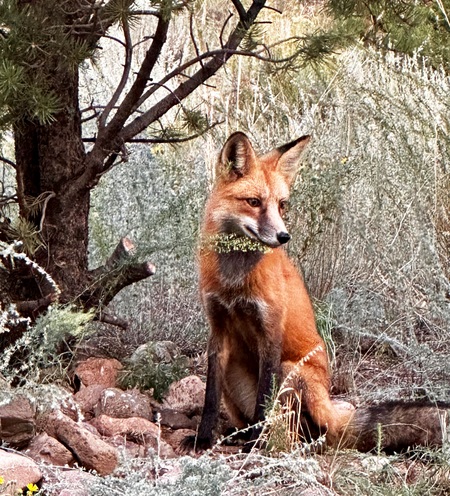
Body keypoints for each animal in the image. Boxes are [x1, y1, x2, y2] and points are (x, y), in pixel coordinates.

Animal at [181, 132, 448, 454]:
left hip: (292, 373)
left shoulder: (270, 333)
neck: (235, 280)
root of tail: (330, 409)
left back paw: (275, 442)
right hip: (234, 372)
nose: (283, 236)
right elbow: (209, 398)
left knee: (304, 433)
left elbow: (263, 401)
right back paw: (241, 435)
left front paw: (256, 443)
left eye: (282, 205)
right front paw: (202, 439)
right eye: (254, 202)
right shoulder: (217, 330)